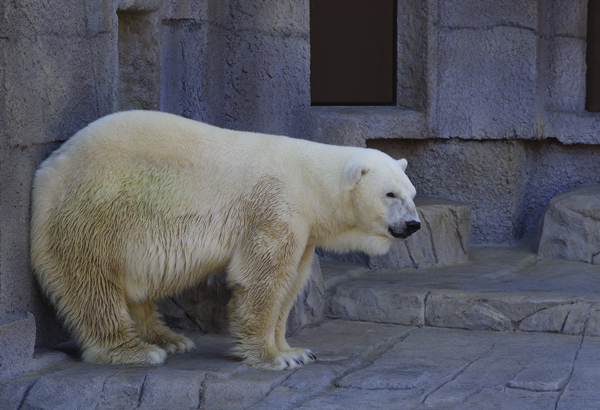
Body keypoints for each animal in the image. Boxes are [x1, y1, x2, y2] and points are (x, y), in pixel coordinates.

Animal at [29, 110, 422, 370]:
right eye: (389, 194)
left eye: (412, 193)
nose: (414, 224)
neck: (310, 180)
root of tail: (51, 167)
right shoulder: (275, 206)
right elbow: (264, 279)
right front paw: (272, 358)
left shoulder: (305, 226)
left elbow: (292, 282)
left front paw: (294, 351)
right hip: (98, 213)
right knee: (94, 284)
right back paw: (135, 350)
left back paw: (169, 339)